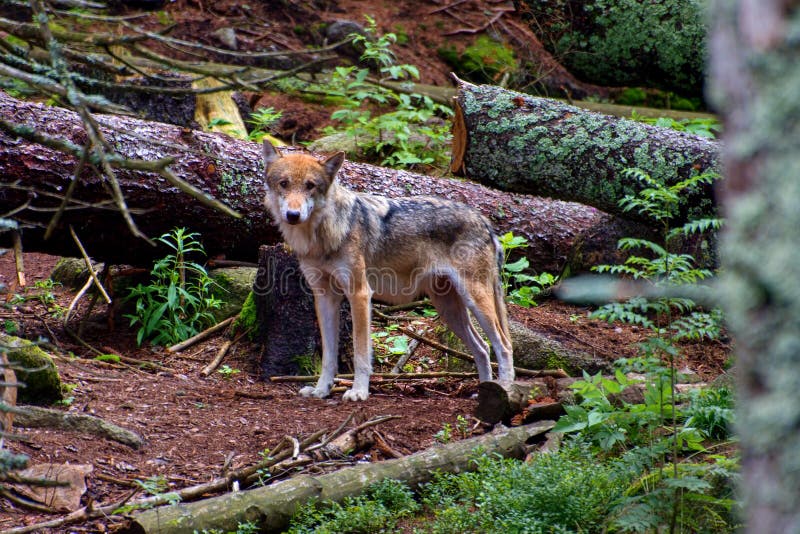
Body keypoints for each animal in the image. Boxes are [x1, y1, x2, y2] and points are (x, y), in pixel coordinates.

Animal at [260, 142, 512, 402]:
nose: (293, 215)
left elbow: (361, 353)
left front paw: (359, 392)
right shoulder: (324, 297)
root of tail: (485, 221)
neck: (323, 237)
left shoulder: (360, 294)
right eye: (284, 184)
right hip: (449, 310)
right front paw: (321, 390)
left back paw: (504, 389)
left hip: (475, 301)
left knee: (504, 346)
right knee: (483, 349)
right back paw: (484, 392)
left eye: (310, 185)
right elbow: (329, 356)